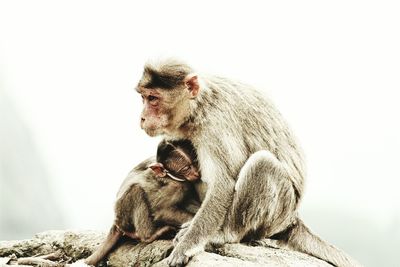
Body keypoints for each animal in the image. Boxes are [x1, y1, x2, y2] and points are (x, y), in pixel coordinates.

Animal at [138, 59, 360, 266]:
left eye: (153, 98)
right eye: (143, 97)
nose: (142, 118)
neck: (199, 105)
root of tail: (292, 219)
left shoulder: (215, 126)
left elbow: (223, 184)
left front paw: (186, 246)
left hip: (279, 211)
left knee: (261, 163)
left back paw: (225, 233)